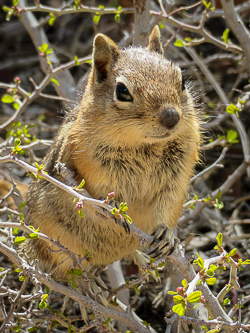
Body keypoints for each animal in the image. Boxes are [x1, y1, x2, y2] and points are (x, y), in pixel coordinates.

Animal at [24, 26, 200, 276]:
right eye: (122, 91)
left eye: (182, 80)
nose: (172, 117)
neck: (143, 146)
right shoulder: (85, 165)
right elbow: (93, 189)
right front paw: (113, 206)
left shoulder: (177, 178)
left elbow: (167, 207)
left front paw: (167, 236)